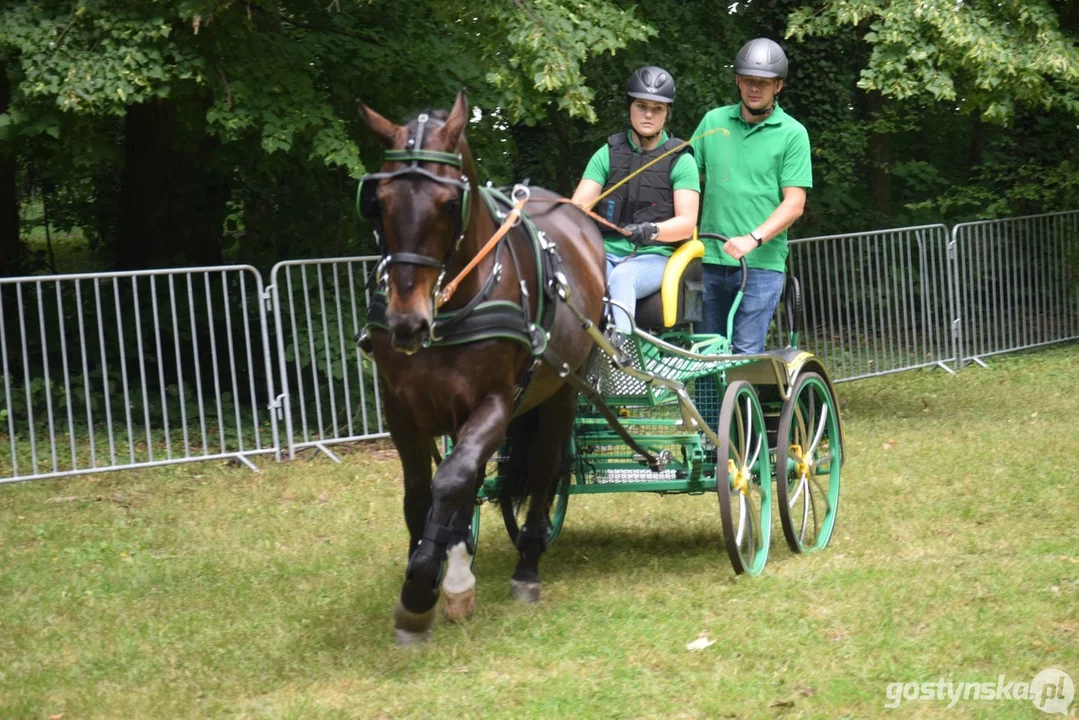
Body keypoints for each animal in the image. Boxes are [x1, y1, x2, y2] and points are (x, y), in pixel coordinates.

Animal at [358, 91, 604, 647]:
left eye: (450, 205)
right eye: (378, 201)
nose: (407, 322)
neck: (452, 305)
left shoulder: (493, 403)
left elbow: (452, 480)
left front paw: (423, 590)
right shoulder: (402, 409)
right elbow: (423, 492)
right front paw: (431, 578)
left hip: (559, 391)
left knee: (541, 469)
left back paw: (527, 565)